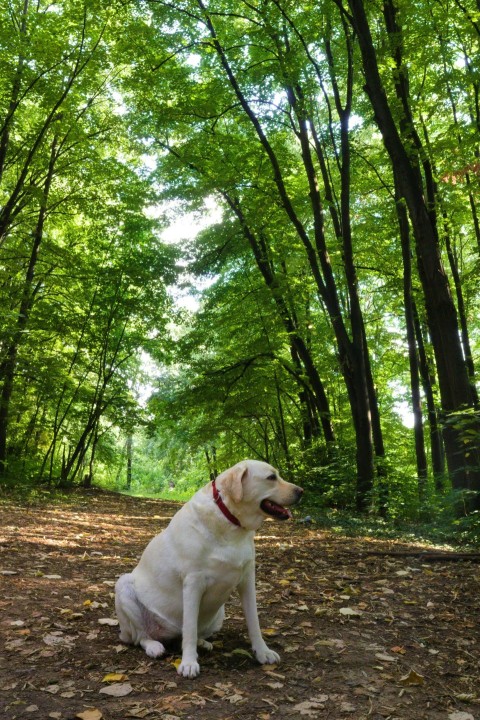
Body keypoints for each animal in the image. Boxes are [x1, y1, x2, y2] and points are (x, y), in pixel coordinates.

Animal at [114, 458, 302, 676]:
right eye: (271, 477)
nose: (301, 491)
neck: (230, 522)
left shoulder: (247, 579)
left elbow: (254, 622)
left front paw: (263, 651)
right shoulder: (193, 582)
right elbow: (189, 628)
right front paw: (188, 662)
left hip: (220, 613)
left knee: (190, 634)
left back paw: (202, 643)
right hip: (124, 587)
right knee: (141, 637)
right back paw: (154, 646)